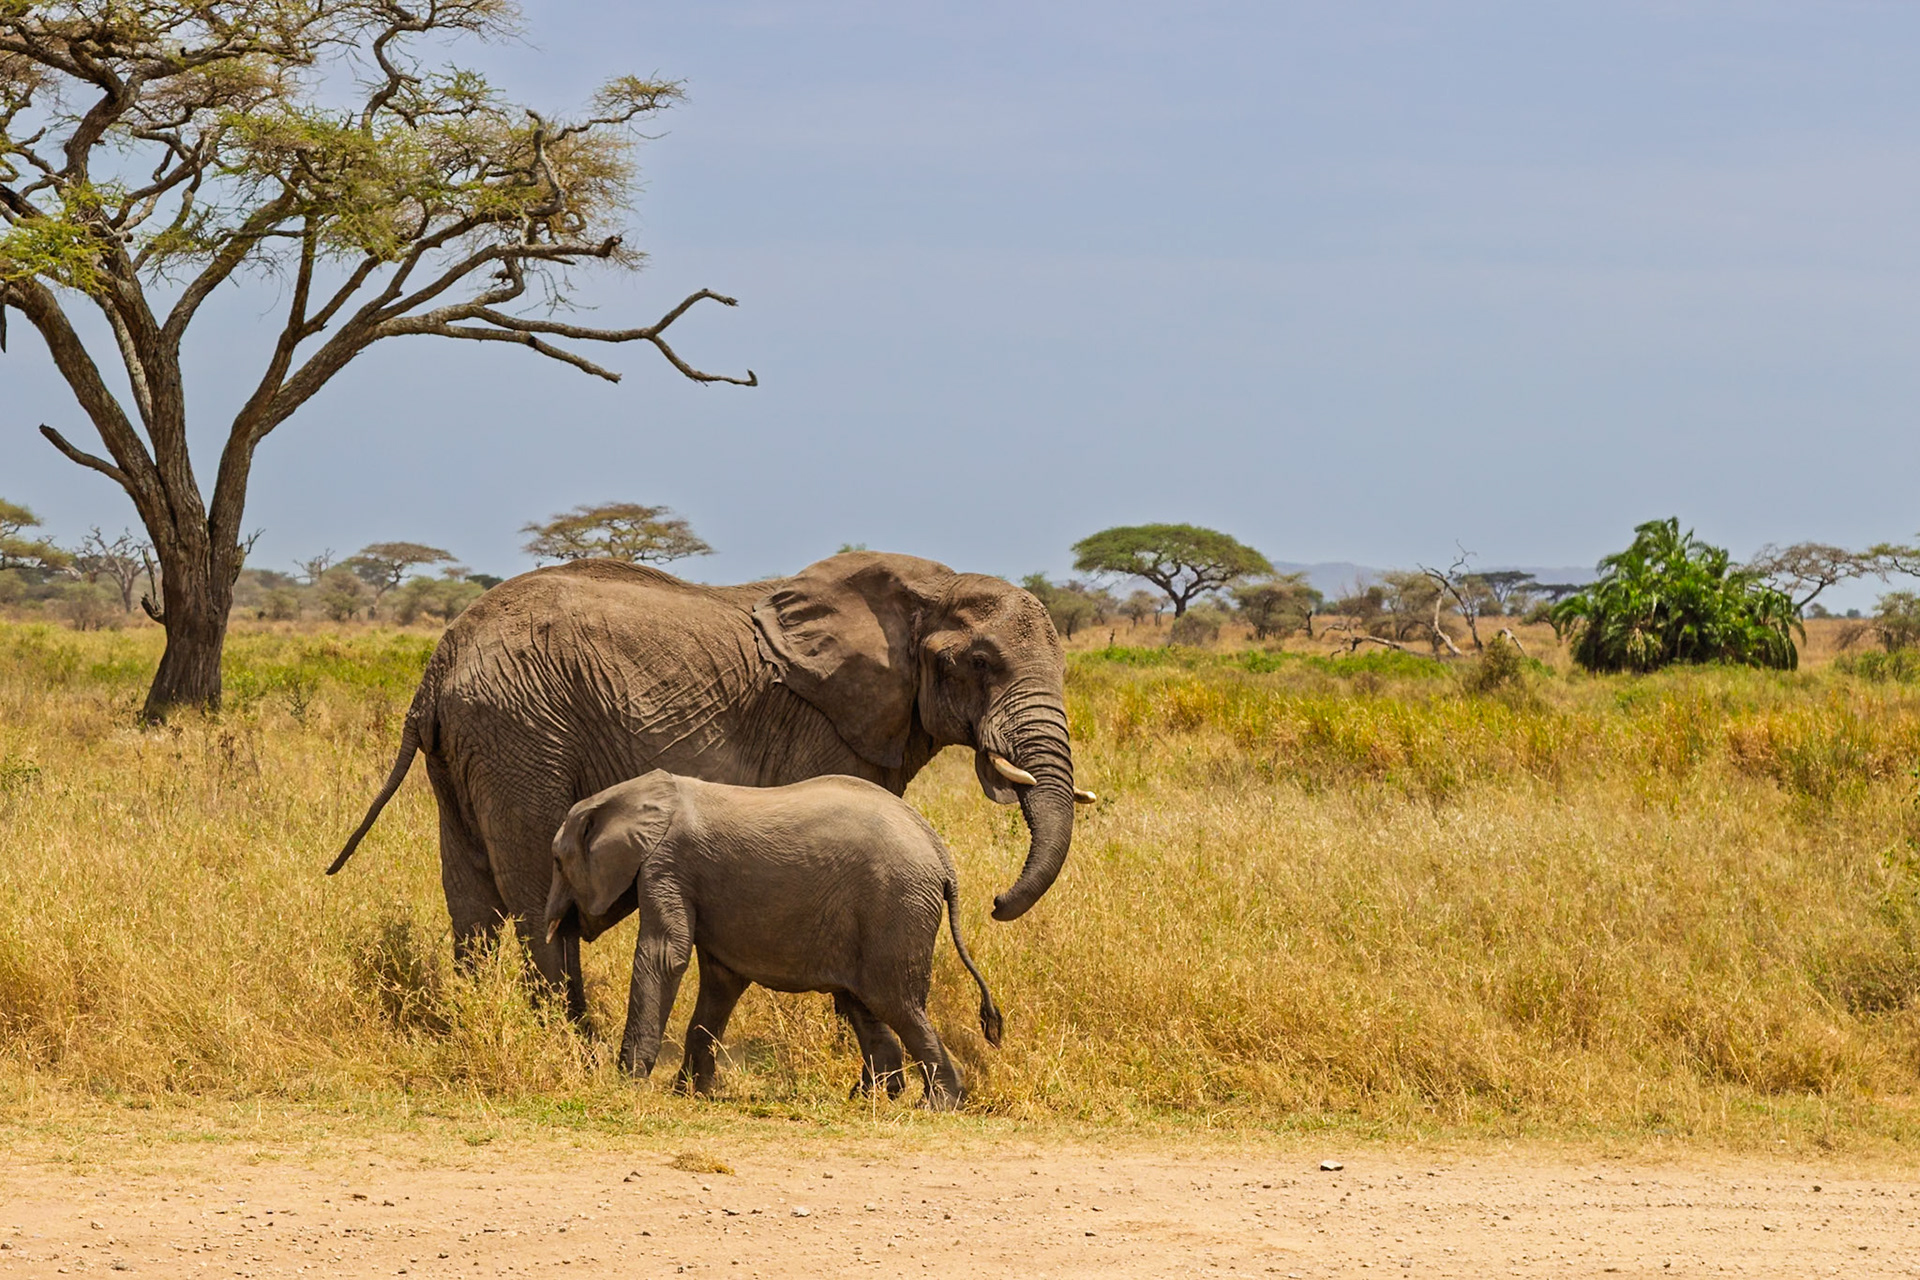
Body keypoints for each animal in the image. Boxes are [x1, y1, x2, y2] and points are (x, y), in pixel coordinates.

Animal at [329, 550, 1089, 1029]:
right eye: (979, 663)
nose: (995, 902)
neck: (928, 586)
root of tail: (439, 661)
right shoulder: (827, 723)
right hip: (521, 732)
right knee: (531, 896)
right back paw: (572, 1043)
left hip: (471, 745)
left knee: (471, 896)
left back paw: (476, 1025)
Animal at [543, 769, 1003, 1108]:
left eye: (556, 862)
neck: (634, 794)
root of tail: (941, 855)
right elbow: (720, 981)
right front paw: (688, 1092)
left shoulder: (666, 863)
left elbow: (664, 957)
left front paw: (628, 1083)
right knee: (864, 1002)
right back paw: (870, 1097)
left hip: (896, 907)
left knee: (894, 1001)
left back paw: (938, 1103)